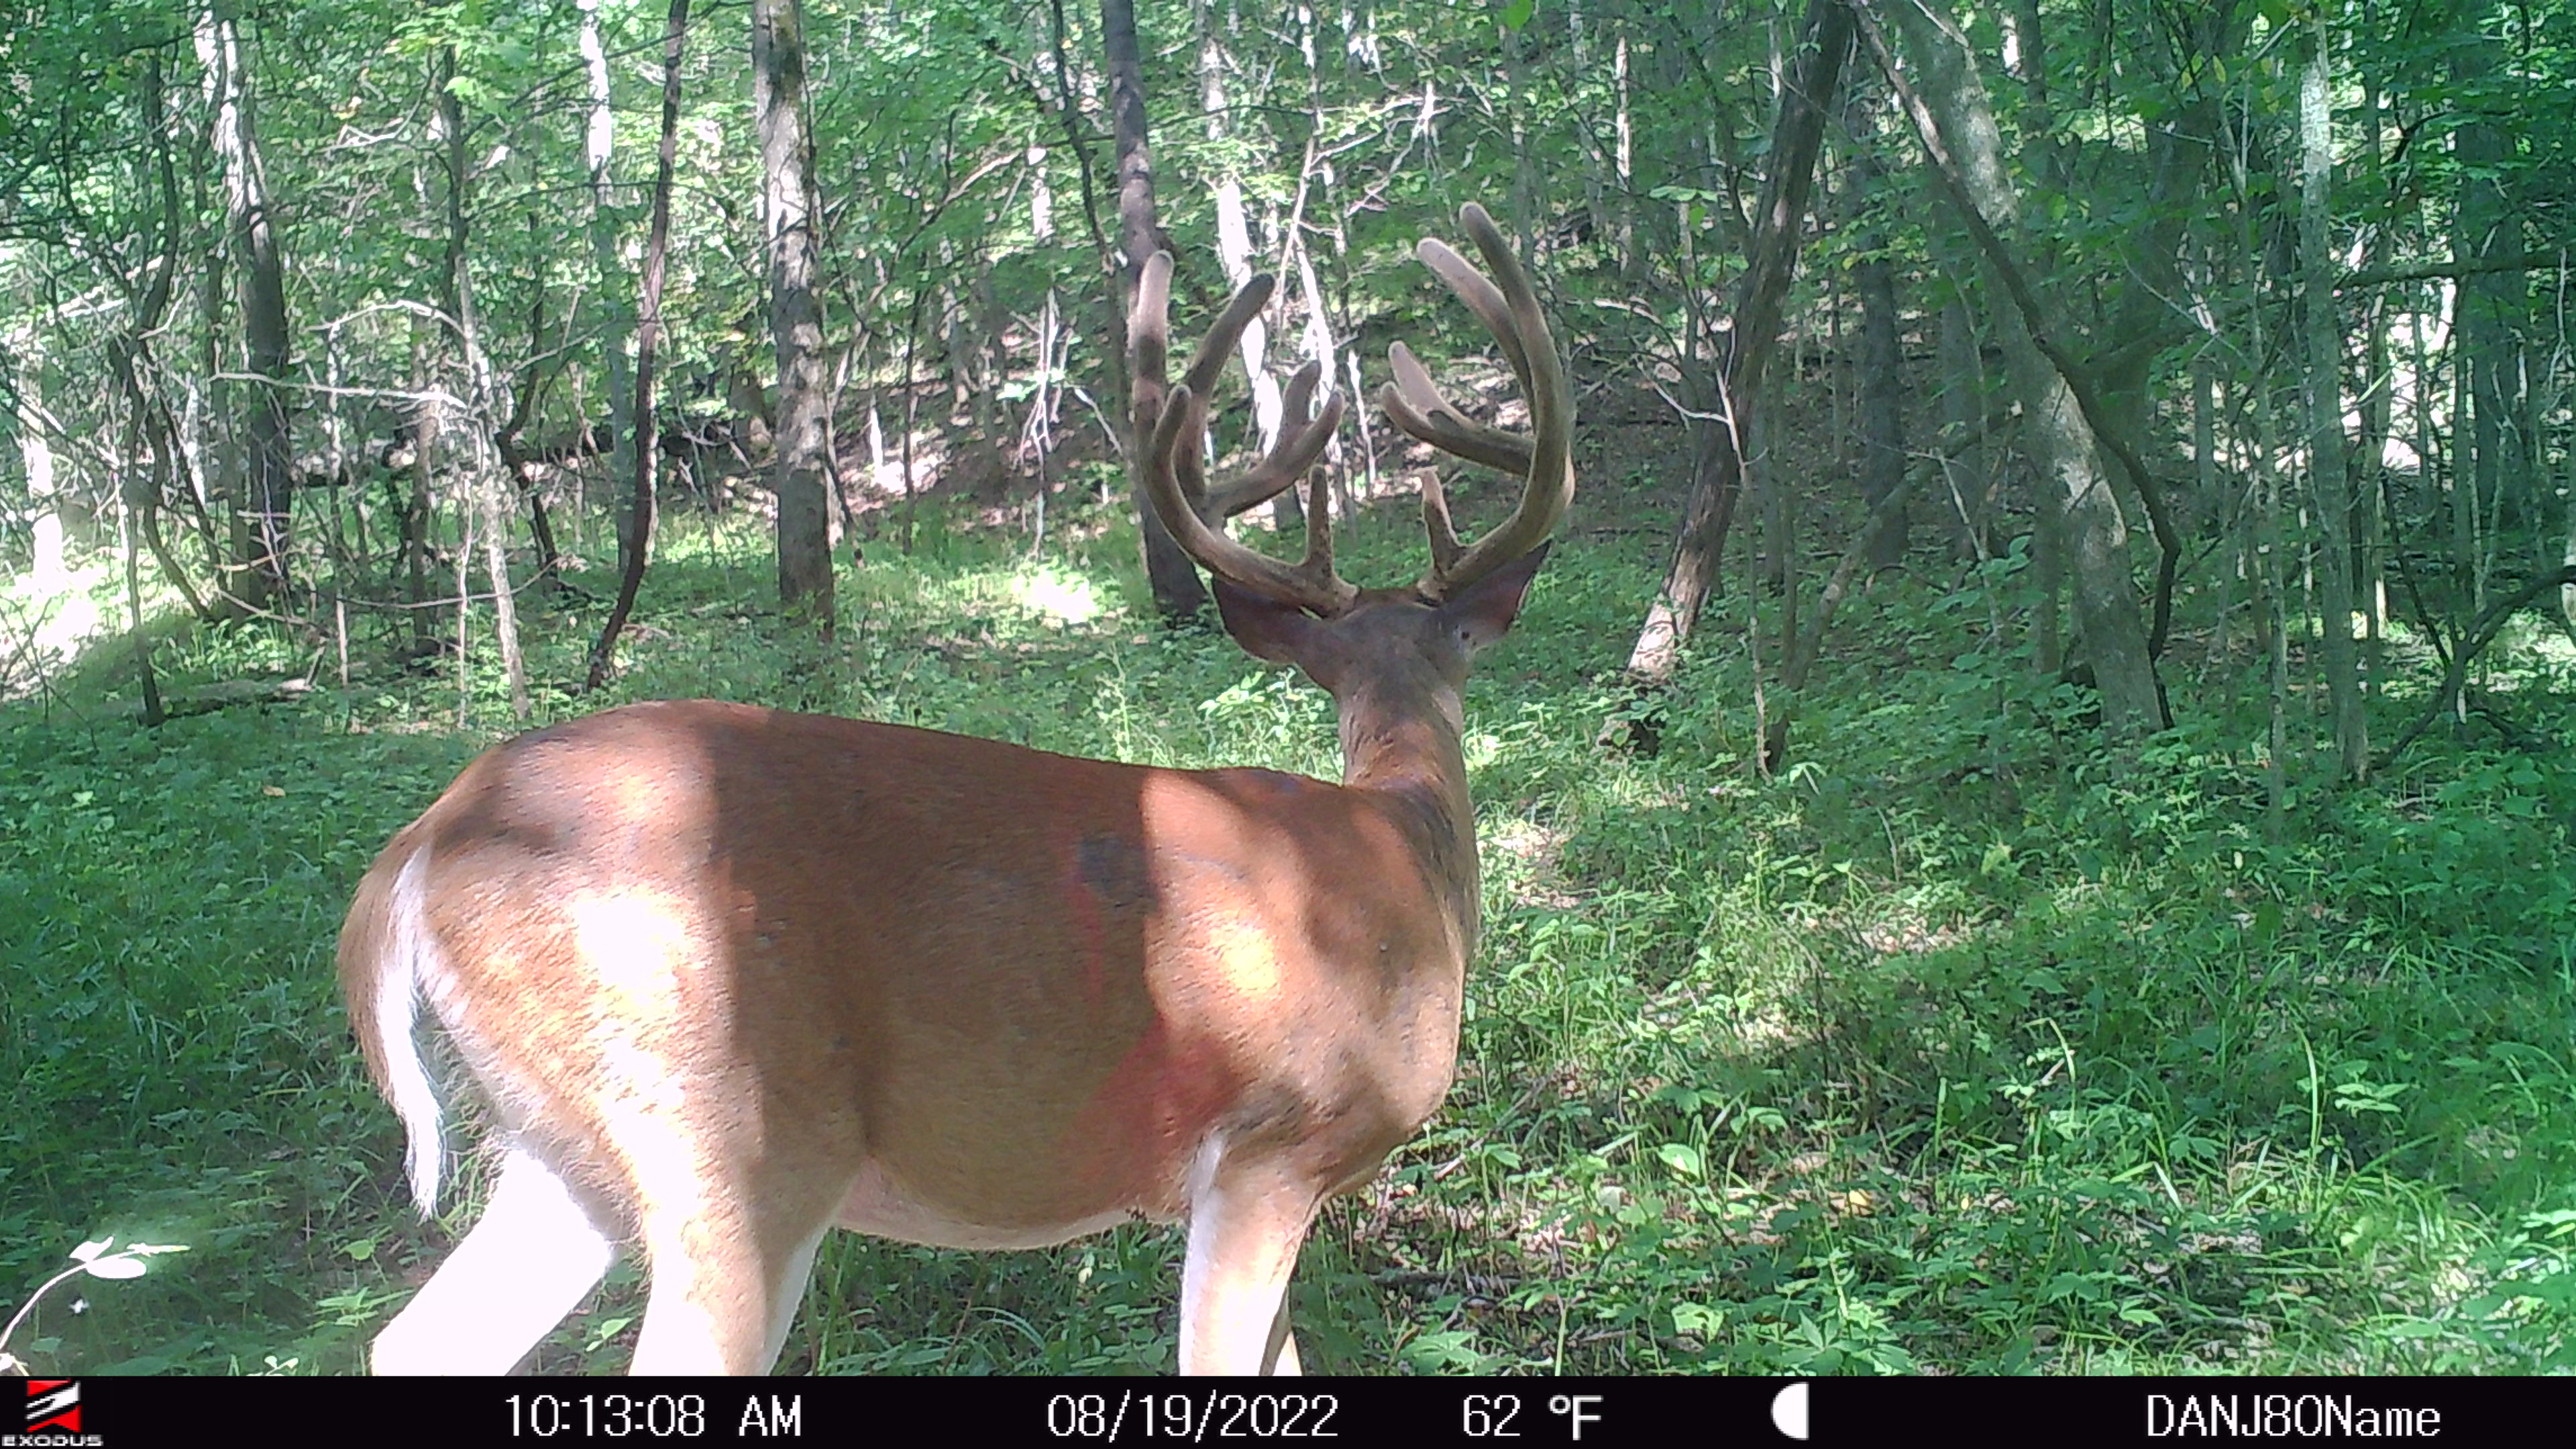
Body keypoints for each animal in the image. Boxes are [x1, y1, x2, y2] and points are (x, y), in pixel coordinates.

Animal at [338, 202, 1572, 1376]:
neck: (1406, 847)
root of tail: (418, 850)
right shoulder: (1274, 1146)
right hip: (734, 1140)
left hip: (563, 1150)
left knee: (419, 1339)